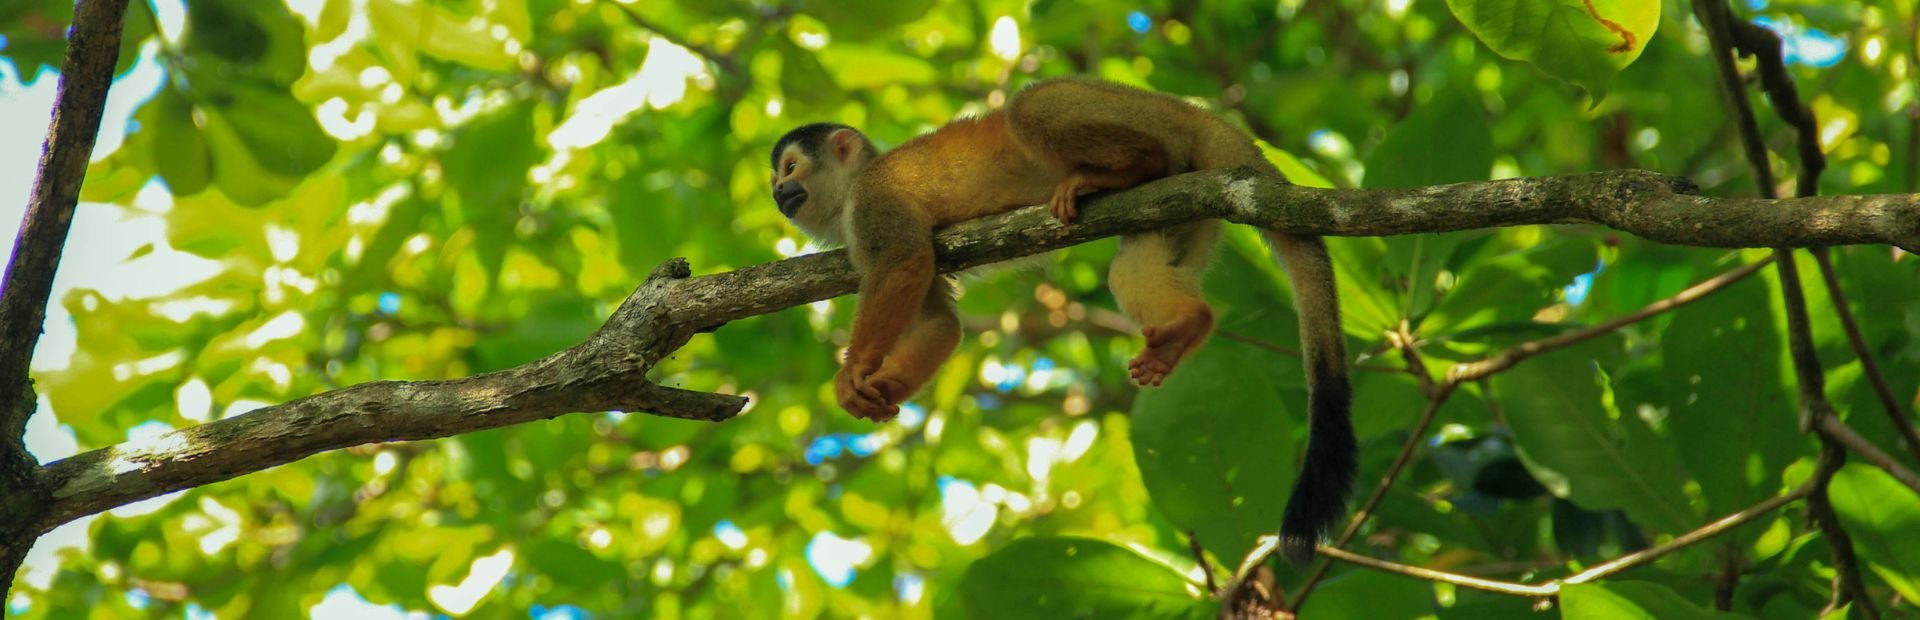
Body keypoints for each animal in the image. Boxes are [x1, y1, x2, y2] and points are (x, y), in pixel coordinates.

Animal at [769, 78, 1354, 561]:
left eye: (789, 169)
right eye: (776, 178)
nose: (777, 193)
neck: (849, 194)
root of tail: (1192, 112)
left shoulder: (874, 201)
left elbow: (906, 262)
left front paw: (855, 369)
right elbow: (939, 323)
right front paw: (883, 387)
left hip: (1133, 112)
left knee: (1032, 106)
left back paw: (1129, 165)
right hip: (1187, 201)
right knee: (1134, 264)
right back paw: (1187, 325)